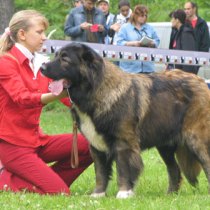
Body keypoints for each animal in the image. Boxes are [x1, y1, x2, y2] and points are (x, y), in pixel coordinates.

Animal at [40, 43, 210, 199]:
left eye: (65, 59)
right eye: (56, 56)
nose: (41, 67)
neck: (94, 91)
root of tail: (200, 81)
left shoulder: (123, 143)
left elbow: (123, 168)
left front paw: (123, 192)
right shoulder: (96, 146)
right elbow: (100, 172)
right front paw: (98, 194)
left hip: (195, 139)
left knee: (205, 162)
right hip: (164, 144)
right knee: (174, 169)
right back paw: (170, 195)